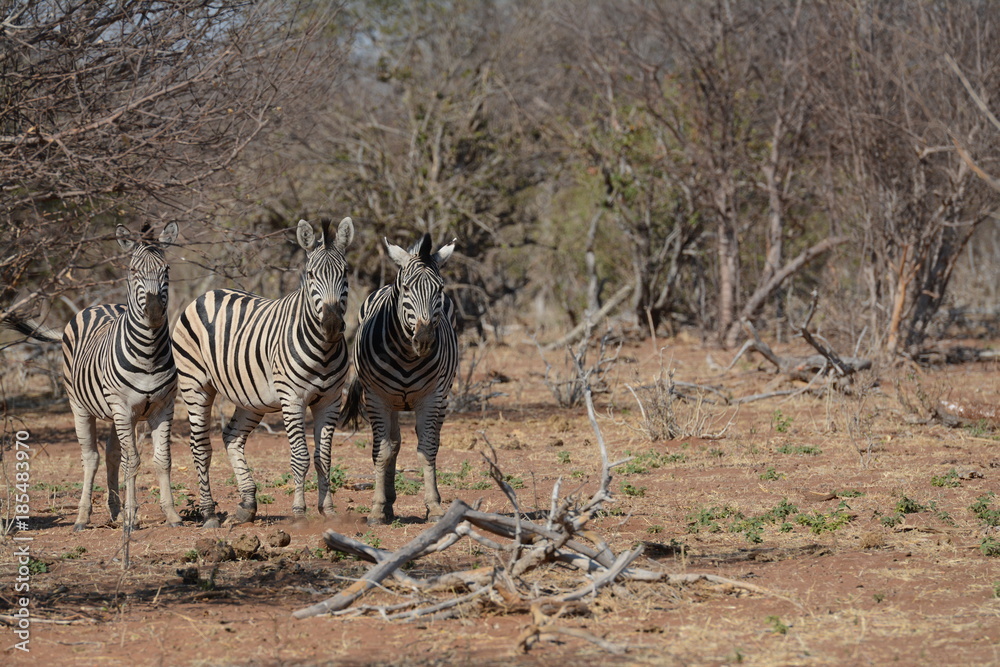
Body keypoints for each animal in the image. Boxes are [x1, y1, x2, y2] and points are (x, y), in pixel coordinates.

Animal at [6, 223, 183, 532]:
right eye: (133, 271)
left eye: (167, 269)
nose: (153, 312)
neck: (149, 353)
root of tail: (98, 306)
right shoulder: (123, 408)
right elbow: (132, 461)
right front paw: (132, 518)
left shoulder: (163, 407)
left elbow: (162, 460)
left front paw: (170, 514)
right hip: (81, 406)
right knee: (91, 457)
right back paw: (82, 517)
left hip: (117, 414)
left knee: (112, 454)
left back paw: (114, 510)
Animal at [171, 218, 354, 527]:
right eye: (310, 275)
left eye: (345, 274)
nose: (331, 324)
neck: (324, 350)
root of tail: (207, 294)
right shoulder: (292, 399)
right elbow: (301, 457)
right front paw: (299, 512)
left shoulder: (330, 400)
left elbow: (324, 458)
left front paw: (328, 510)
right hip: (194, 384)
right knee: (200, 447)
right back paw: (209, 514)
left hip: (250, 397)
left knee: (231, 437)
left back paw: (247, 505)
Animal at [342, 233, 459, 525]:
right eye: (406, 288)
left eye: (440, 289)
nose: (425, 339)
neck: (407, 355)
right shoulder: (376, 397)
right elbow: (382, 451)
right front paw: (376, 508)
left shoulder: (431, 397)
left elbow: (427, 448)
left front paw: (434, 507)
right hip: (389, 401)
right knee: (393, 444)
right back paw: (388, 504)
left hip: (443, 396)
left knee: (430, 439)